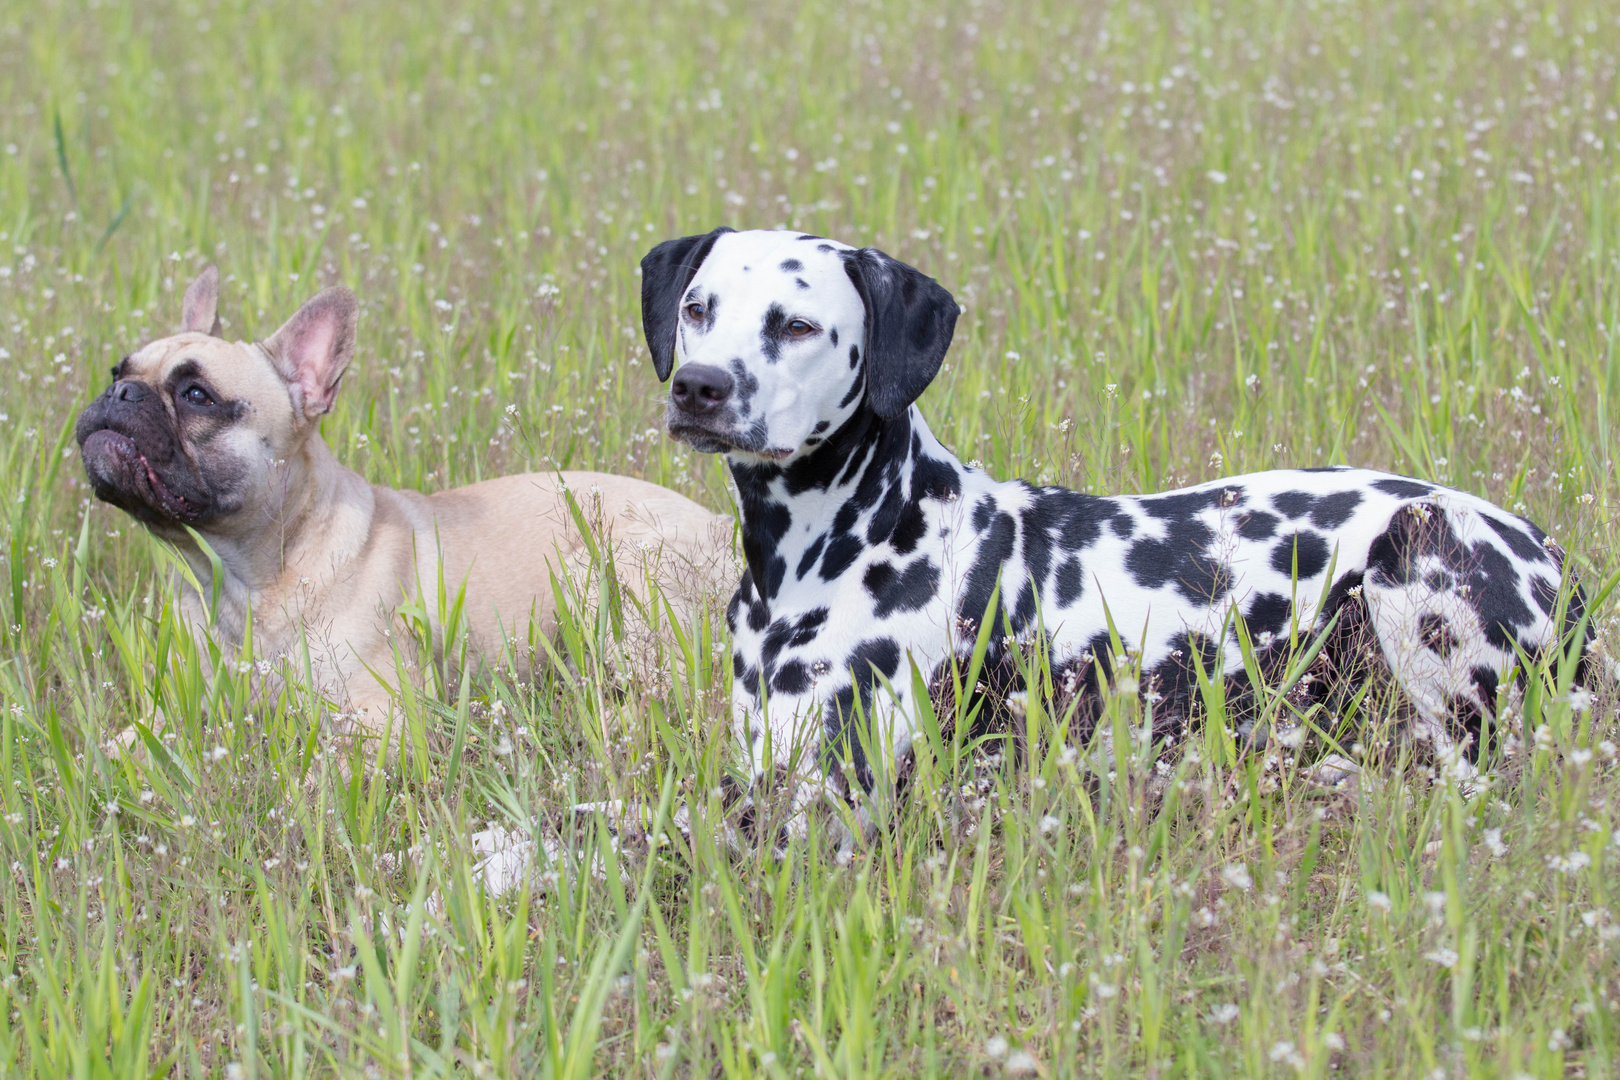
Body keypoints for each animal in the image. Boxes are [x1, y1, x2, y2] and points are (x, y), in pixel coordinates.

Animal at [638, 223, 1587, 841]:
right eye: (698, 308)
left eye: (796, 325)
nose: (699, 387)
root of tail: (1555, 559)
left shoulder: (824, 799)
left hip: (1412, 557)